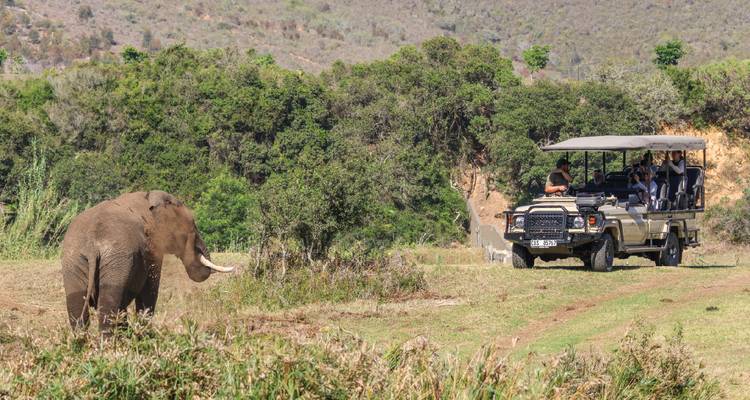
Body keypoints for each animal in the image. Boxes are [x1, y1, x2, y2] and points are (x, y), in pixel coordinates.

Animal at [61, 190, 233, 332]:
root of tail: (92, 244)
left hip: (74, 260)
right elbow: (149, 291)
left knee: (77, 309)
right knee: (108, 305)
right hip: (115, 260)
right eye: (192, 227)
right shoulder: (152, 247)